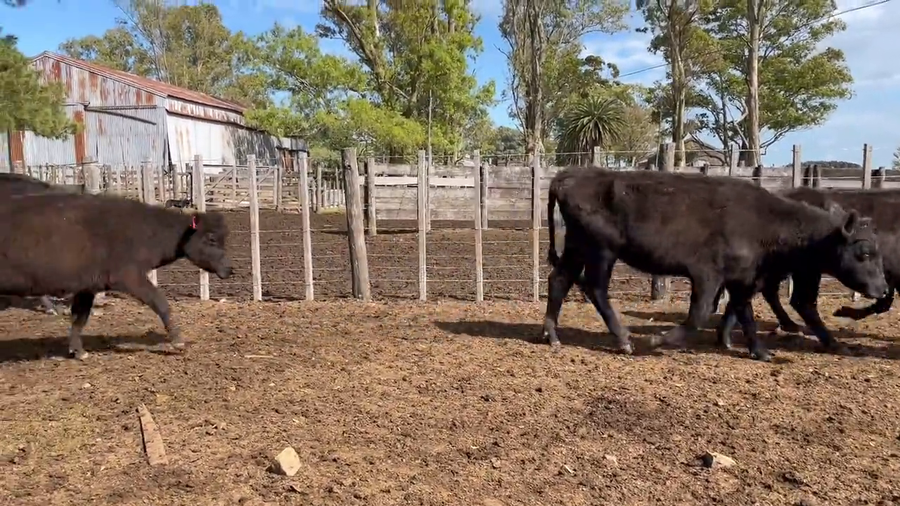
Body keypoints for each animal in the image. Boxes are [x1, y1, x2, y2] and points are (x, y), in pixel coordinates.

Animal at [0, 192, 233, 360]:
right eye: (211, 239)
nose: (230, 269)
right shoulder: (129, 276)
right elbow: (161, 303)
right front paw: (178, 340)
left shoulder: (88, 286)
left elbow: (79, 318)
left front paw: (78, 351)